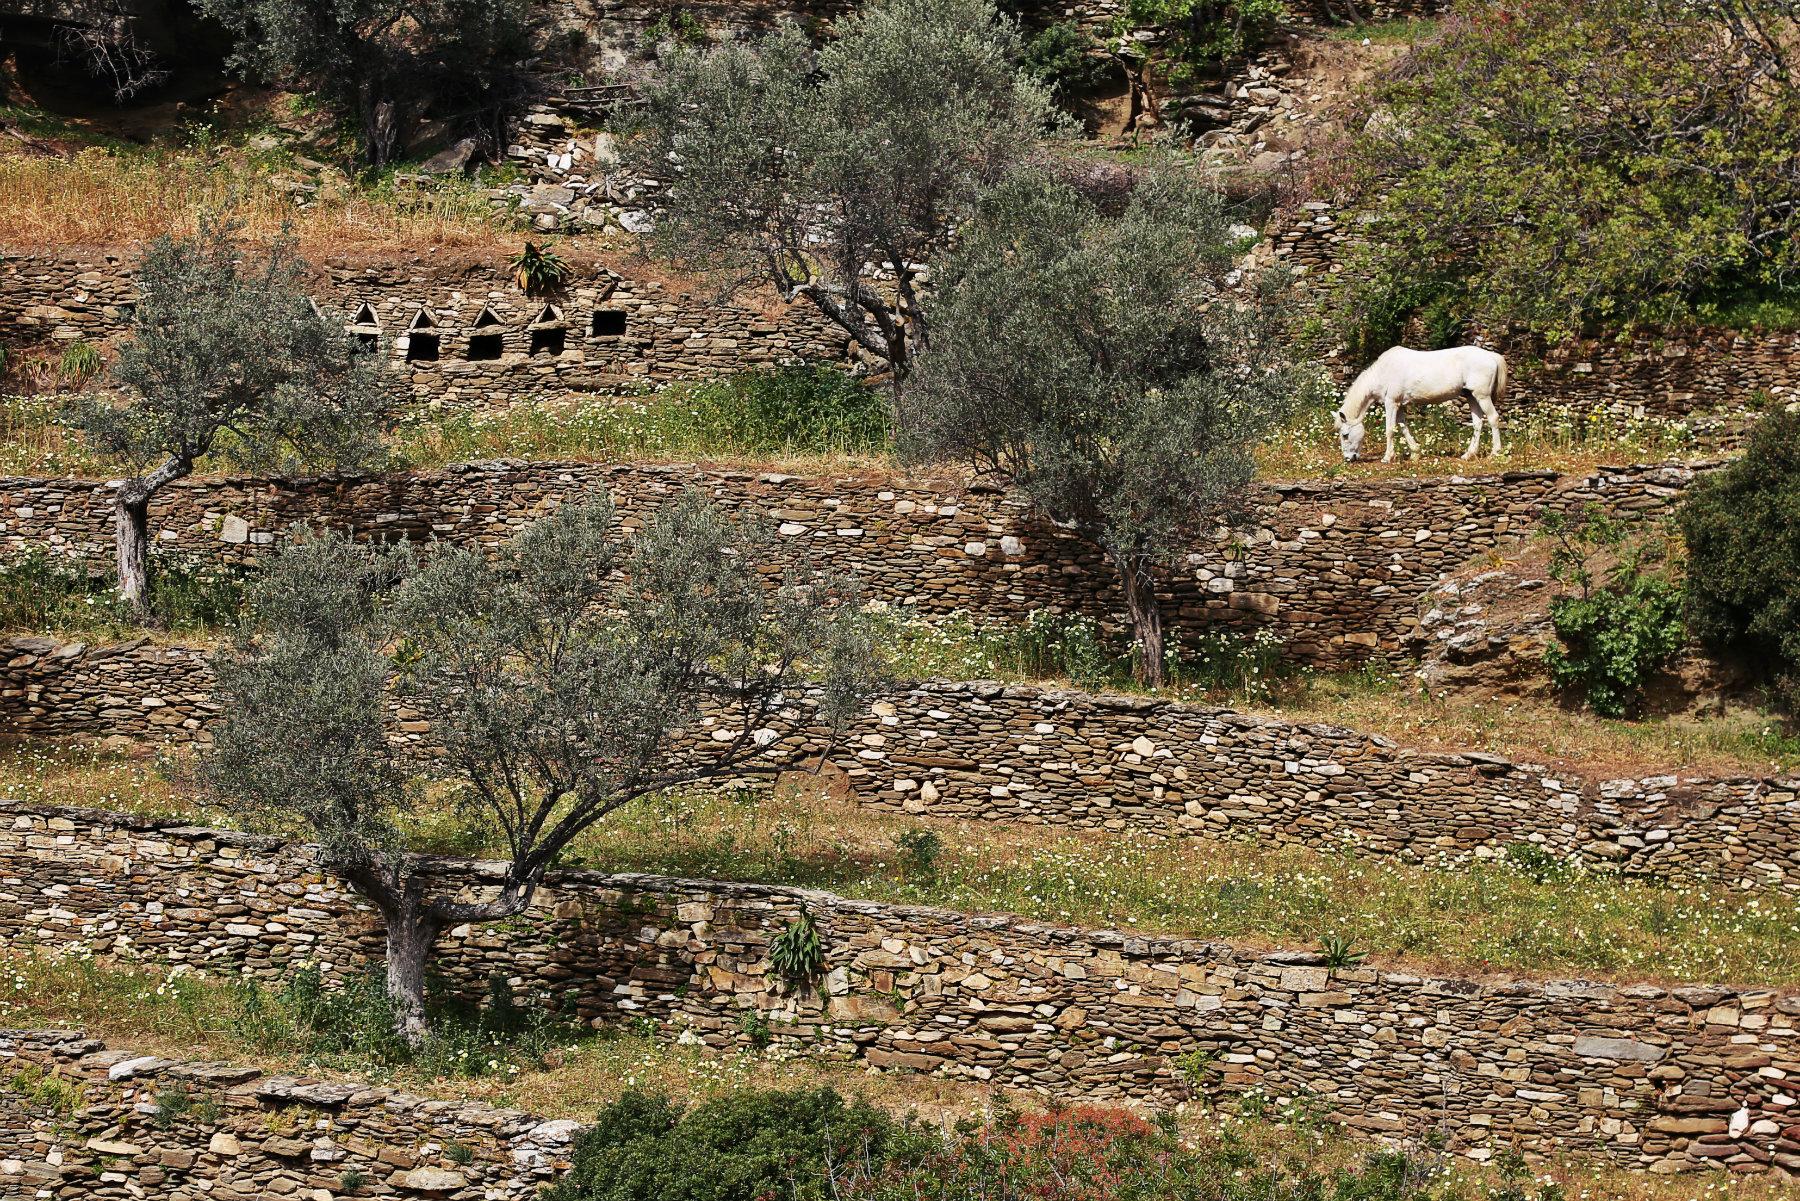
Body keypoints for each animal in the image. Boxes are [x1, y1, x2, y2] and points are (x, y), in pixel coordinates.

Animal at [1339, 347, 1504, 464]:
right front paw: (1415, 453)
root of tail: (1491, 356)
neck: (1383, 372)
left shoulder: (1391, 402)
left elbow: (1390, 430)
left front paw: (1387, 457)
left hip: (1482, 396)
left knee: (1493, 418)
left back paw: (1495, 453)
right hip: (1471, 396)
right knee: (1477, 424)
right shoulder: (1399, 405)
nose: (1348, 458)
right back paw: (1468, 454)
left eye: (1345, 435)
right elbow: (1403, 427)